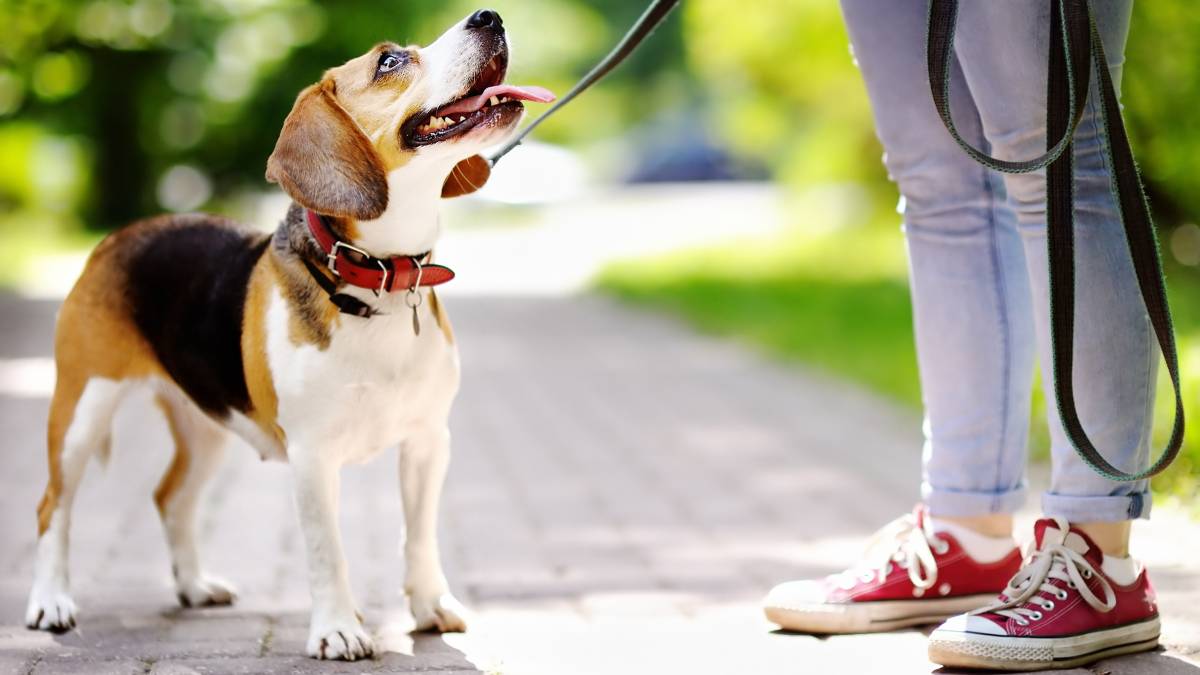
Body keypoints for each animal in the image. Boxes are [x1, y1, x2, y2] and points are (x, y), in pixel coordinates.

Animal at [25, 9, 552, 662]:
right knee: (53, 507)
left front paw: (430, 606)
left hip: (206, 426)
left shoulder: (429, 441)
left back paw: (194, 586)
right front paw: (339, 629)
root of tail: (120, 235)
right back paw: (51, 602)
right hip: (81, 409)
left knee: (170, 499)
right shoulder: (312, 455)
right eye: (390, 61)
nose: (489, 16)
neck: (378, 278)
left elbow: (420, 535)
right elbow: (329, 551)